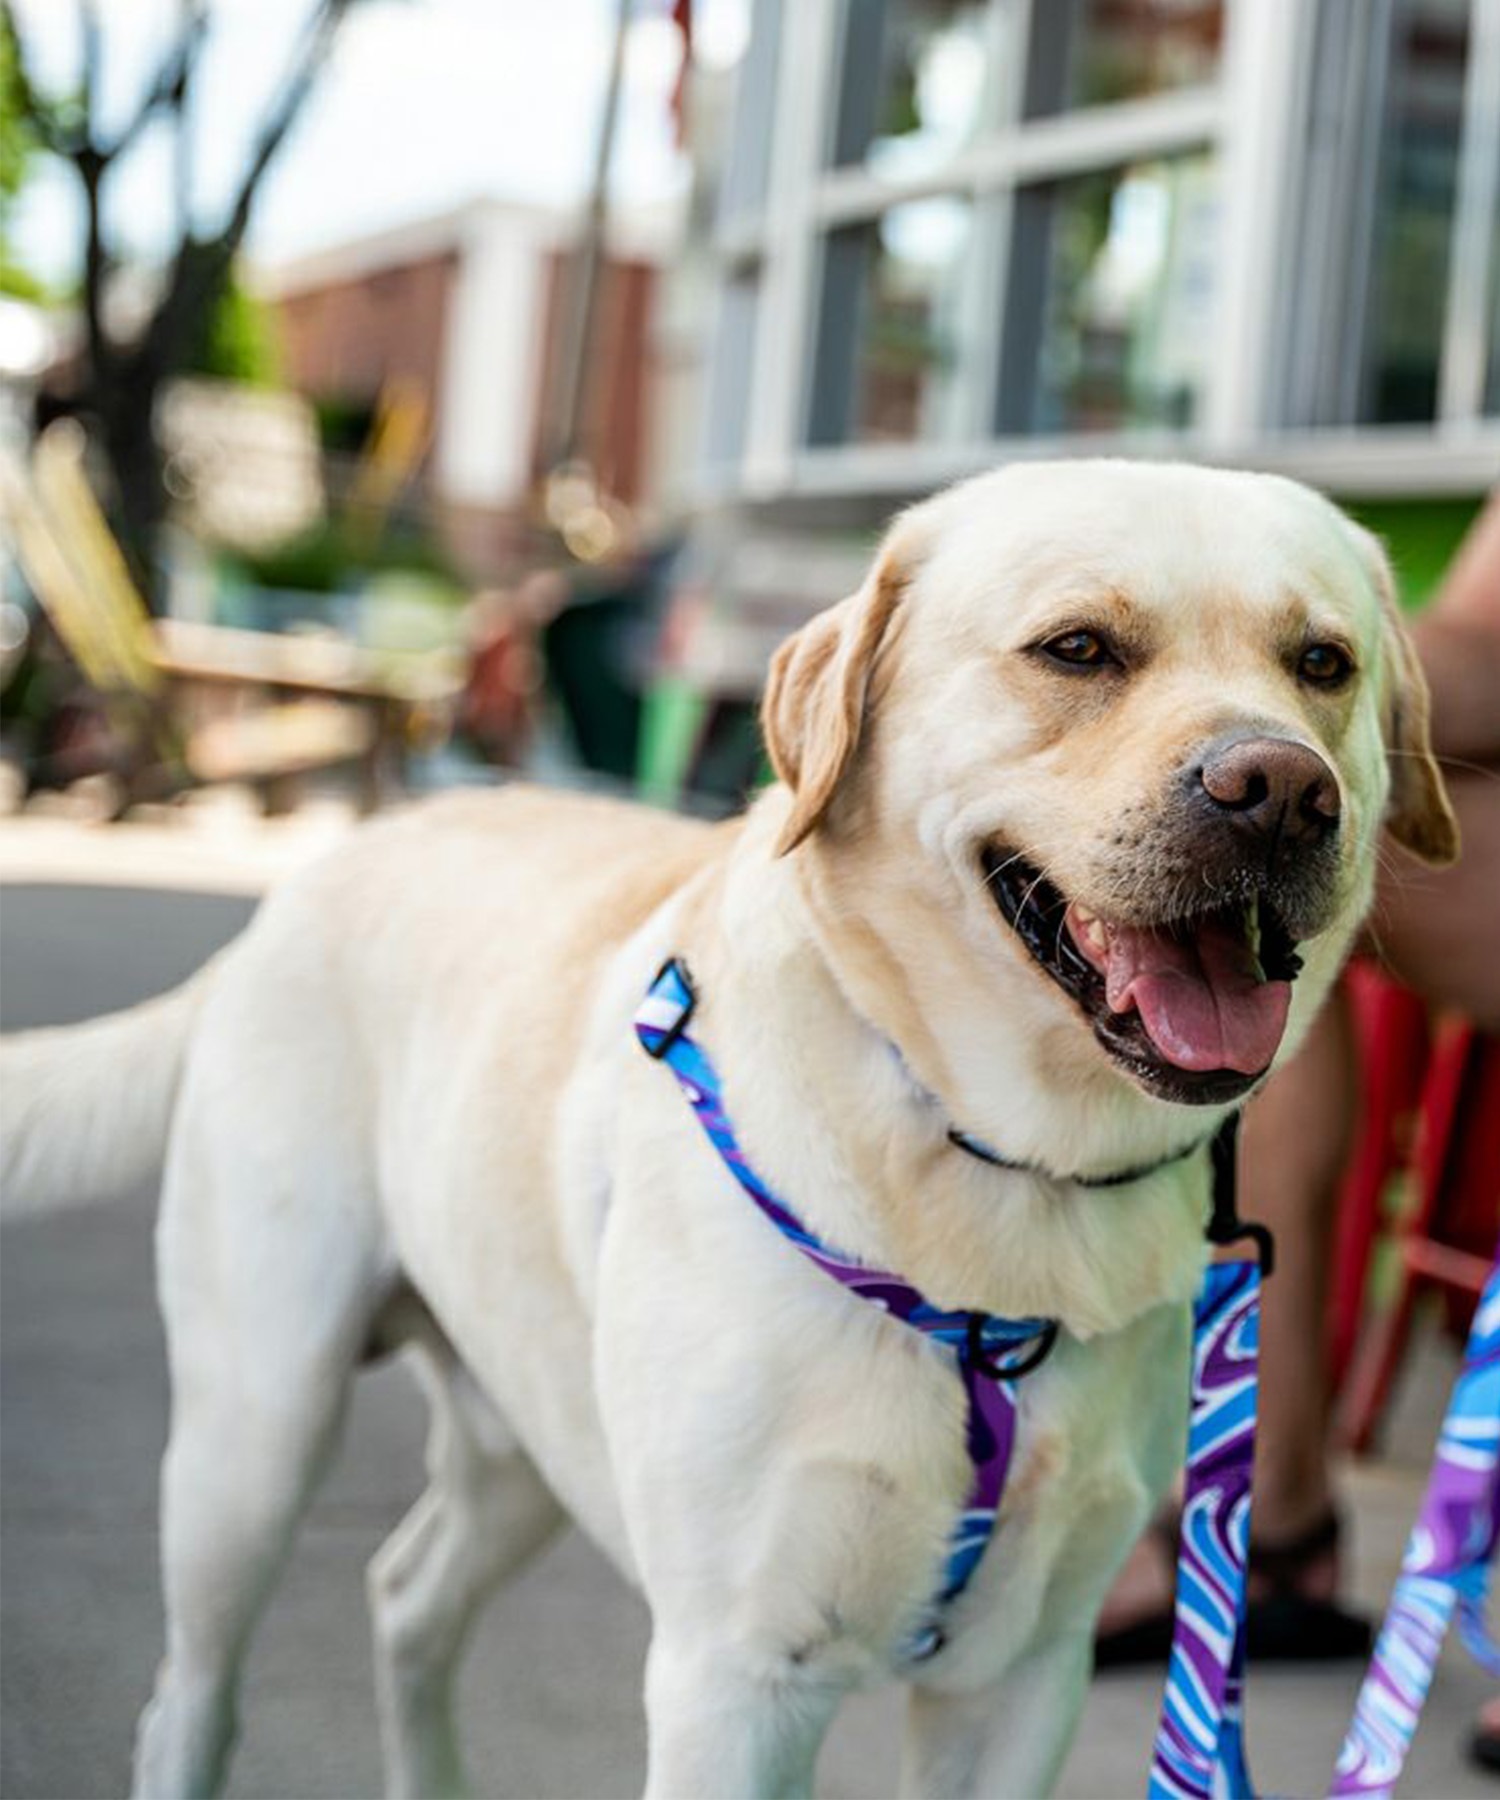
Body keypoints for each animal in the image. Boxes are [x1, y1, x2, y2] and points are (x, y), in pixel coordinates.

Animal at [0, 460, 1454, 1800]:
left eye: (1322, 664)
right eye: (1080, 649)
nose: (1281, 788)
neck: (1002, 1173)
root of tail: (295, 890)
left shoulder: (1022, 1680)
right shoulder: (735, 1676)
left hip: (525, 1422)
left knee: (406, 1596)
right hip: (255, 1432)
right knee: (193, 1691)